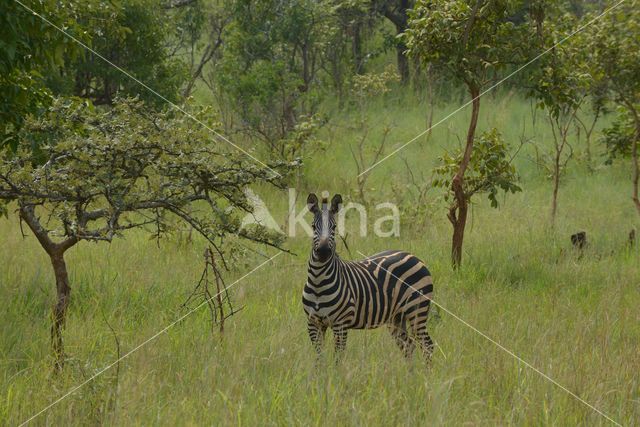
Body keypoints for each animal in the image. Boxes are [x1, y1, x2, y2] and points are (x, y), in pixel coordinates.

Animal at [304, 195, 436, 362]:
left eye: (334, 227)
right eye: (313, 226)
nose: (323, 252)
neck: (318, 282)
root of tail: (413, 255)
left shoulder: (340, 324)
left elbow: (338, 358)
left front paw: (336, 370)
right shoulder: (313, 324)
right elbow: (320, 358)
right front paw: (321, 369)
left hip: (417, 310)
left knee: (427, 346)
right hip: (396, 317)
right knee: (408, 346)